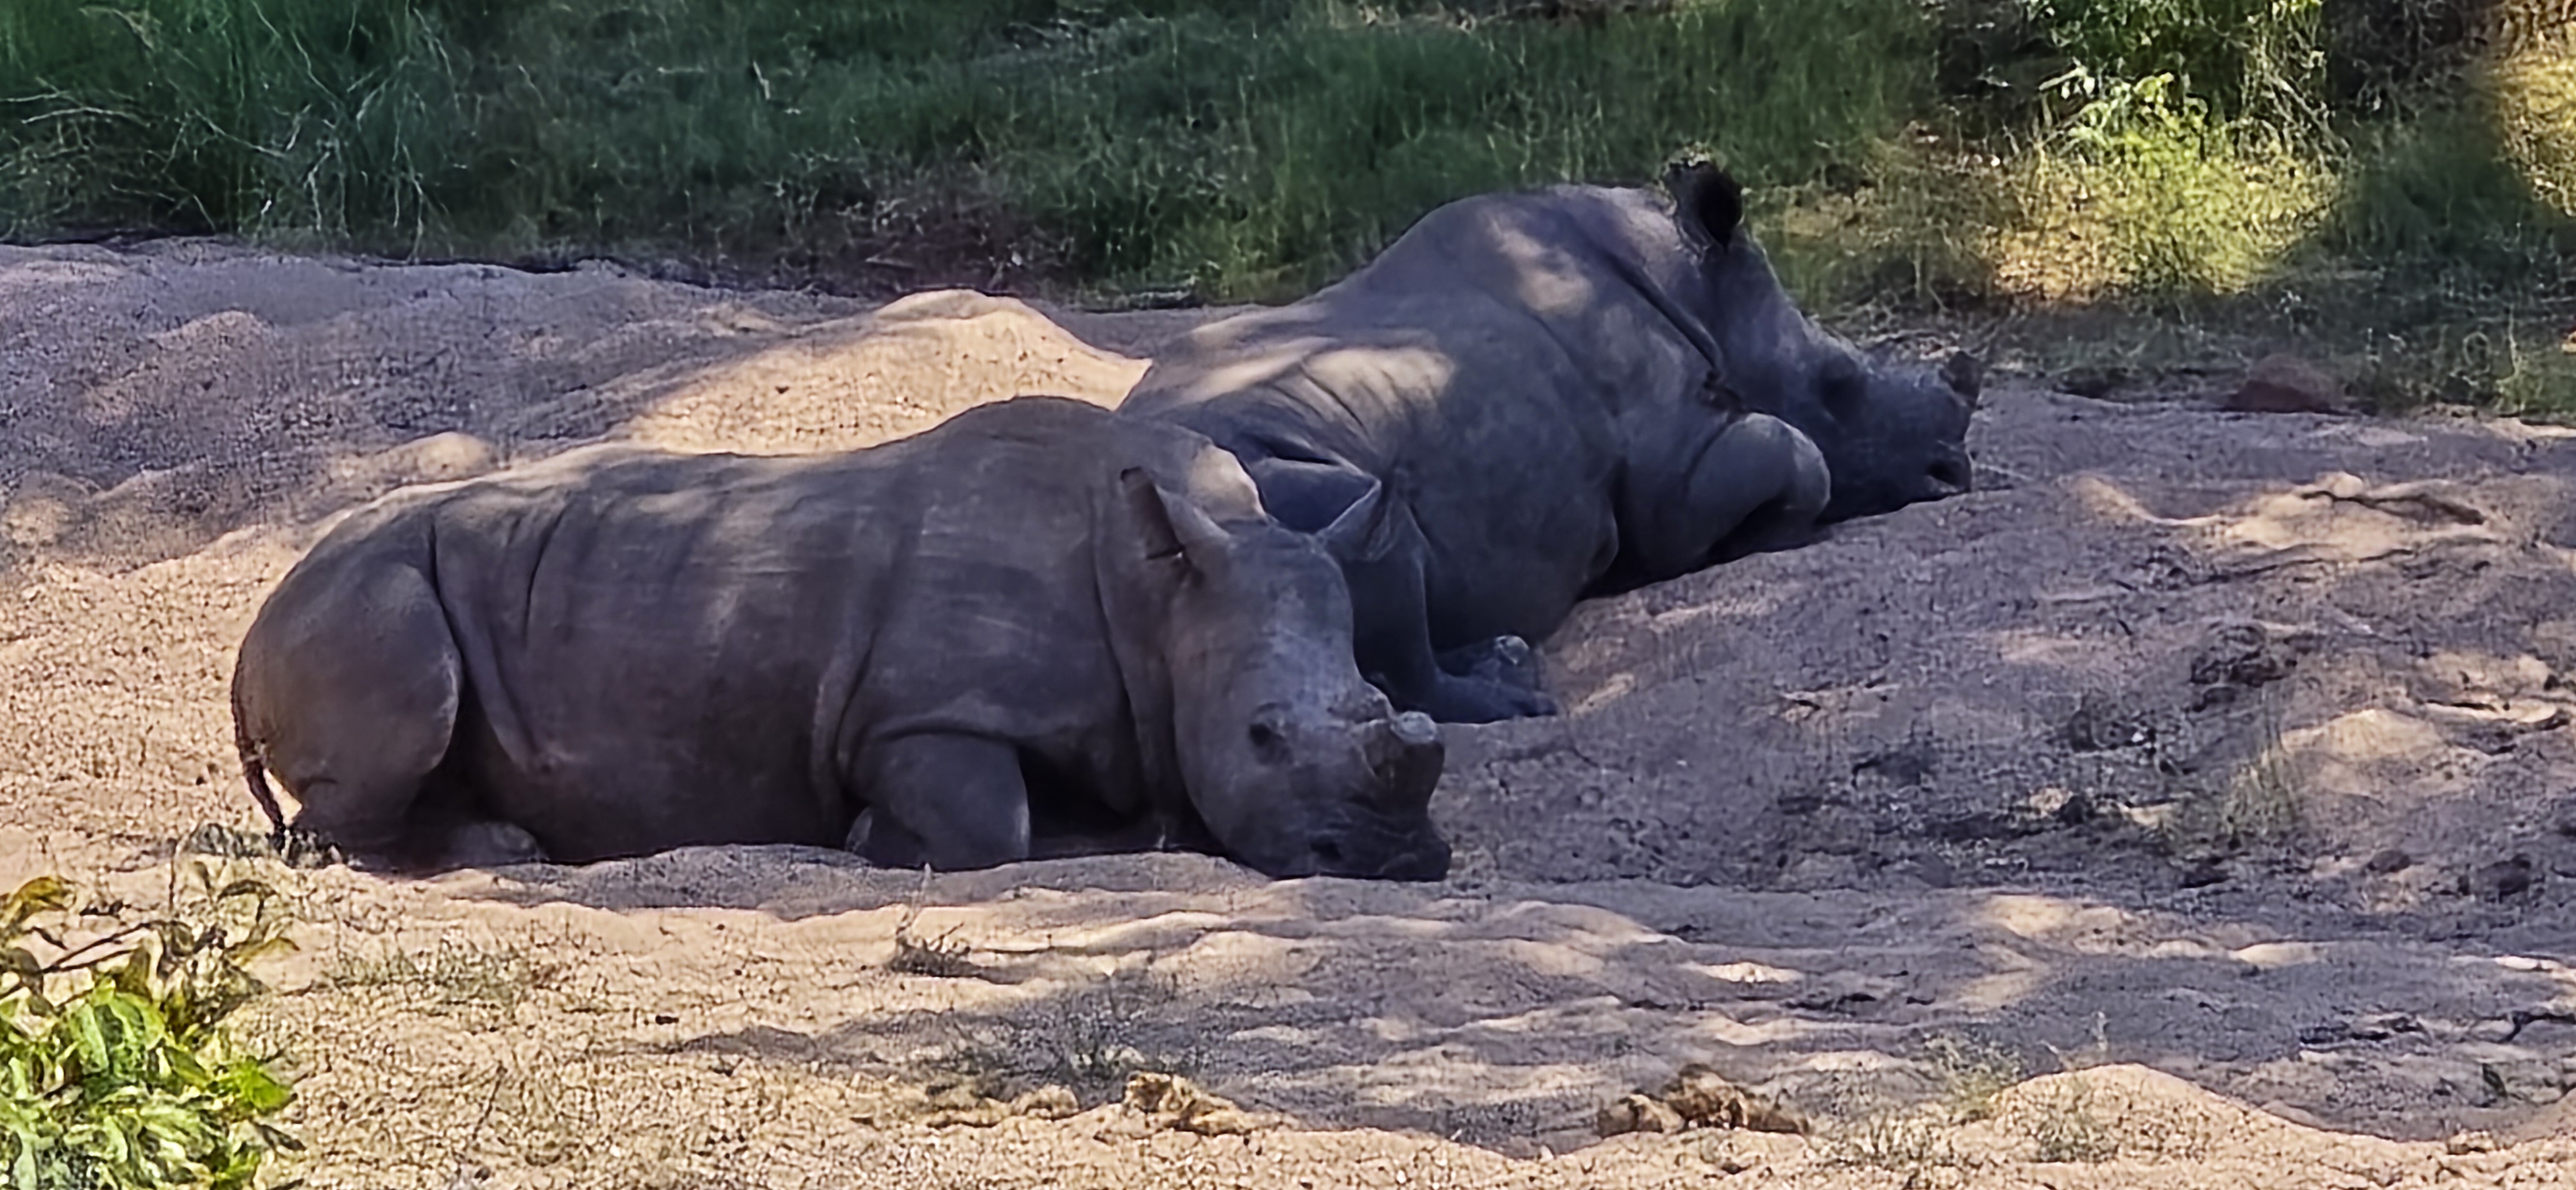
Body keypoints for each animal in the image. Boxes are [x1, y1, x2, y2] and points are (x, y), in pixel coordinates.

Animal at [229, 396, 1450, 880]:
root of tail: (248, 635)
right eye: (1259, 737)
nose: (1395, 862)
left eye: (1385, 701)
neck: (1163, 600)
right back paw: (506, 855)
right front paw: (872, 836)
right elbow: (992, 825)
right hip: (366, 595)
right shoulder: (917, 714)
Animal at [1119, 161, 1981, 723]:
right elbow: (1797, 456)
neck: (1694, 287)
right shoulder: (1676, 475)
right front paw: (1765, 533)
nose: (1954, 469)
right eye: (1839, 383)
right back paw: (1513, 696)